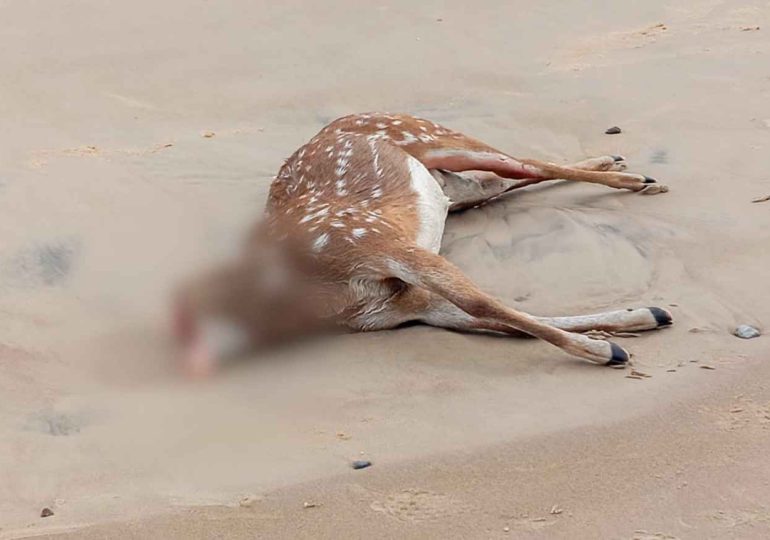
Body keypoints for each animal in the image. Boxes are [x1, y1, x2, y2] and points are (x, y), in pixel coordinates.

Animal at [173, 113, 672, 377]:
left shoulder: (377, 241)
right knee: (499, 180)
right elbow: (499, 319)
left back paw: (636, 178)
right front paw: (638, 320)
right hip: (452, 186)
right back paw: (617, 164)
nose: (195, 364)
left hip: (430, 134)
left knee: (522, 163)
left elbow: (481, 303)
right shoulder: (404, 304)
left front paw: (606, 348)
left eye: (190, 316)